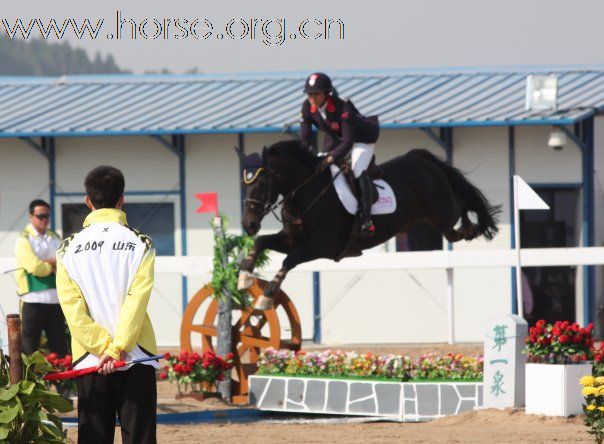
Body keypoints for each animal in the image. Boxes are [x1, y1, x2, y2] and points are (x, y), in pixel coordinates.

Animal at [238, 140, 498, 310]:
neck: (306, 193)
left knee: (462, 204)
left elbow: (288, 260)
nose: (248, 224)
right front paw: (244, 276)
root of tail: (422, 158)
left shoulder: (321, 246)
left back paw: (472, 226)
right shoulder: (292, 239)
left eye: (262, 181)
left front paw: (266, 297)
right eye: (245, 182)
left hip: (442, 211)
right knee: (454, 228)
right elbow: (262, 242)